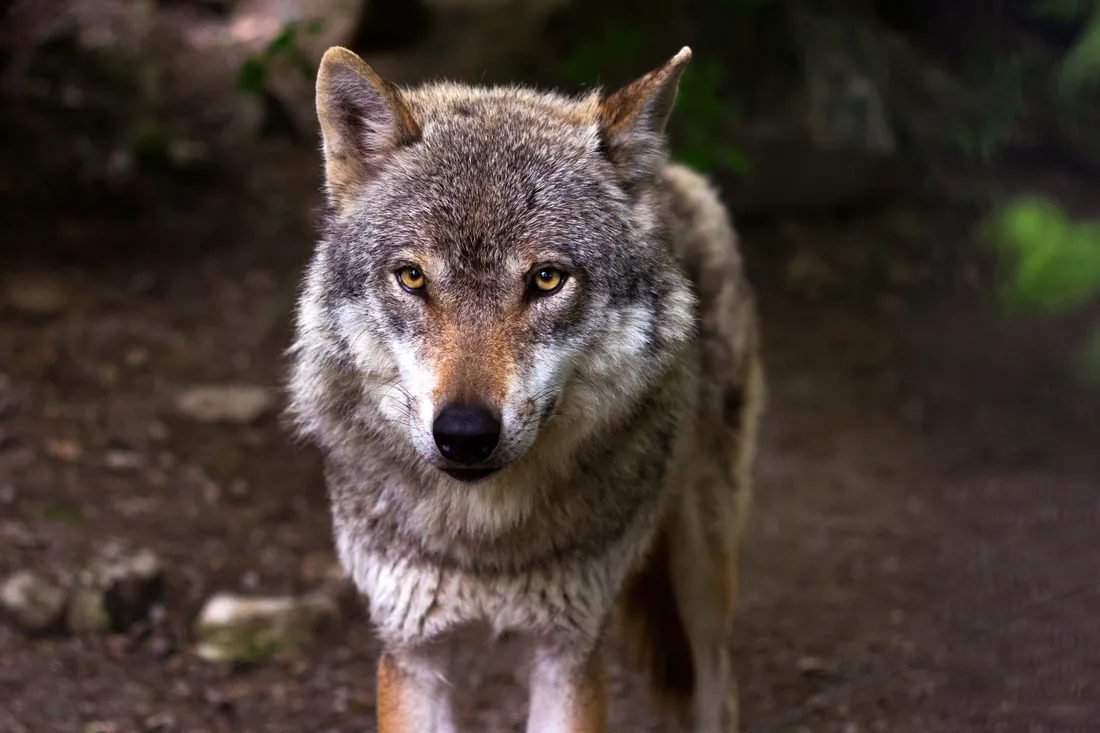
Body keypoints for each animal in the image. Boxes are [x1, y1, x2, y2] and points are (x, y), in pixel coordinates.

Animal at [287, 43, 766, 733]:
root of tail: (672, 175)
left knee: (718, 686)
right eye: (412, 277)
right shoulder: (411, 651)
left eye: (545, 280)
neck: (485, 541)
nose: (464, 434)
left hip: (701, 573)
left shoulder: (568, 652)